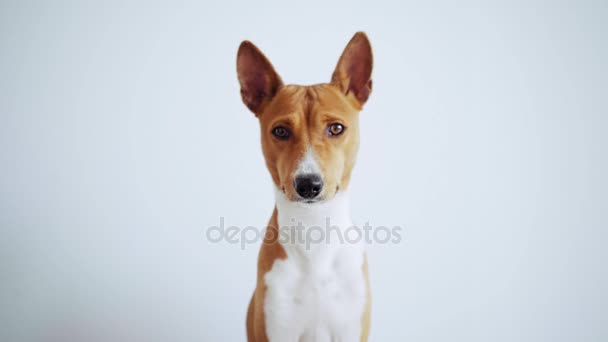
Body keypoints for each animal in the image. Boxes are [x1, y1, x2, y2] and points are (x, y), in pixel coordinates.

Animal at [239, 32, 376, 342]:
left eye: (336, 128)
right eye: (280, 131)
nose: (308, 184)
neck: (314, 234)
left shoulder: (349, 331)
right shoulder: (277, 330)